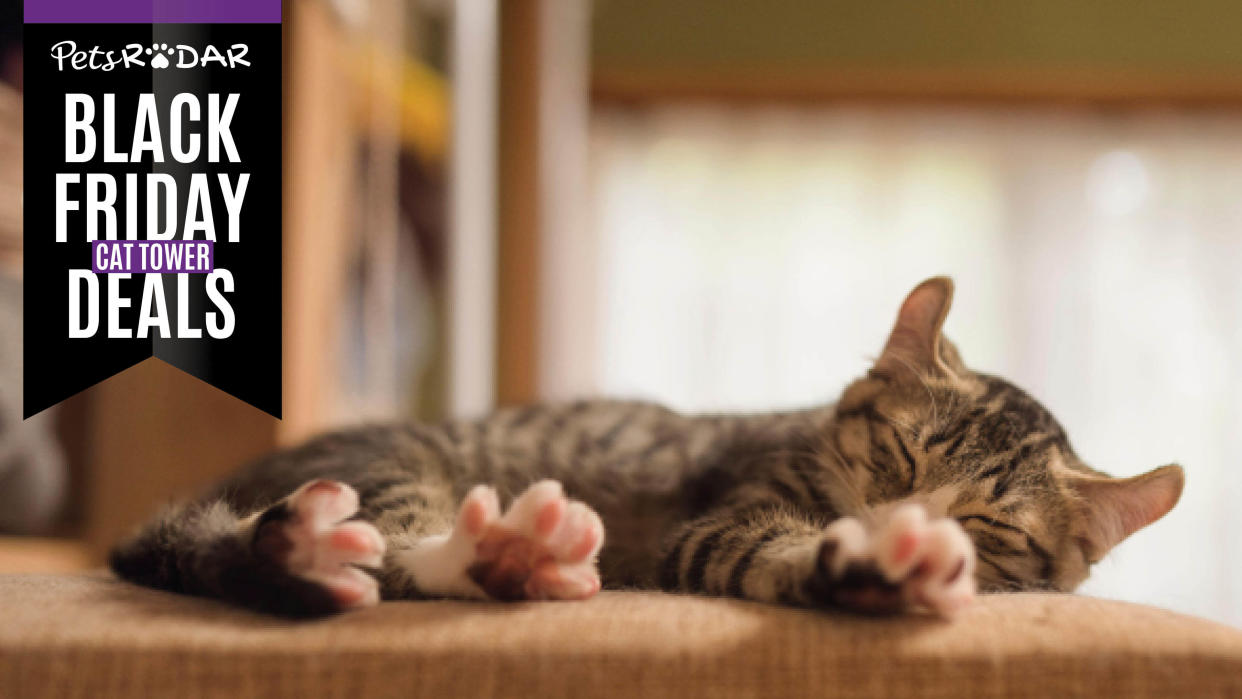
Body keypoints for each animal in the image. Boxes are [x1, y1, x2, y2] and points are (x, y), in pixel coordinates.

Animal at [109, 278, 1182, 618]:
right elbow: (772, 544)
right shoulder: (719, 521)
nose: (901, 517)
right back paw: (500, 548)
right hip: (398, 464)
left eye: (989, 524)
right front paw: (879, 557)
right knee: (399, 555)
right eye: (900, 460)